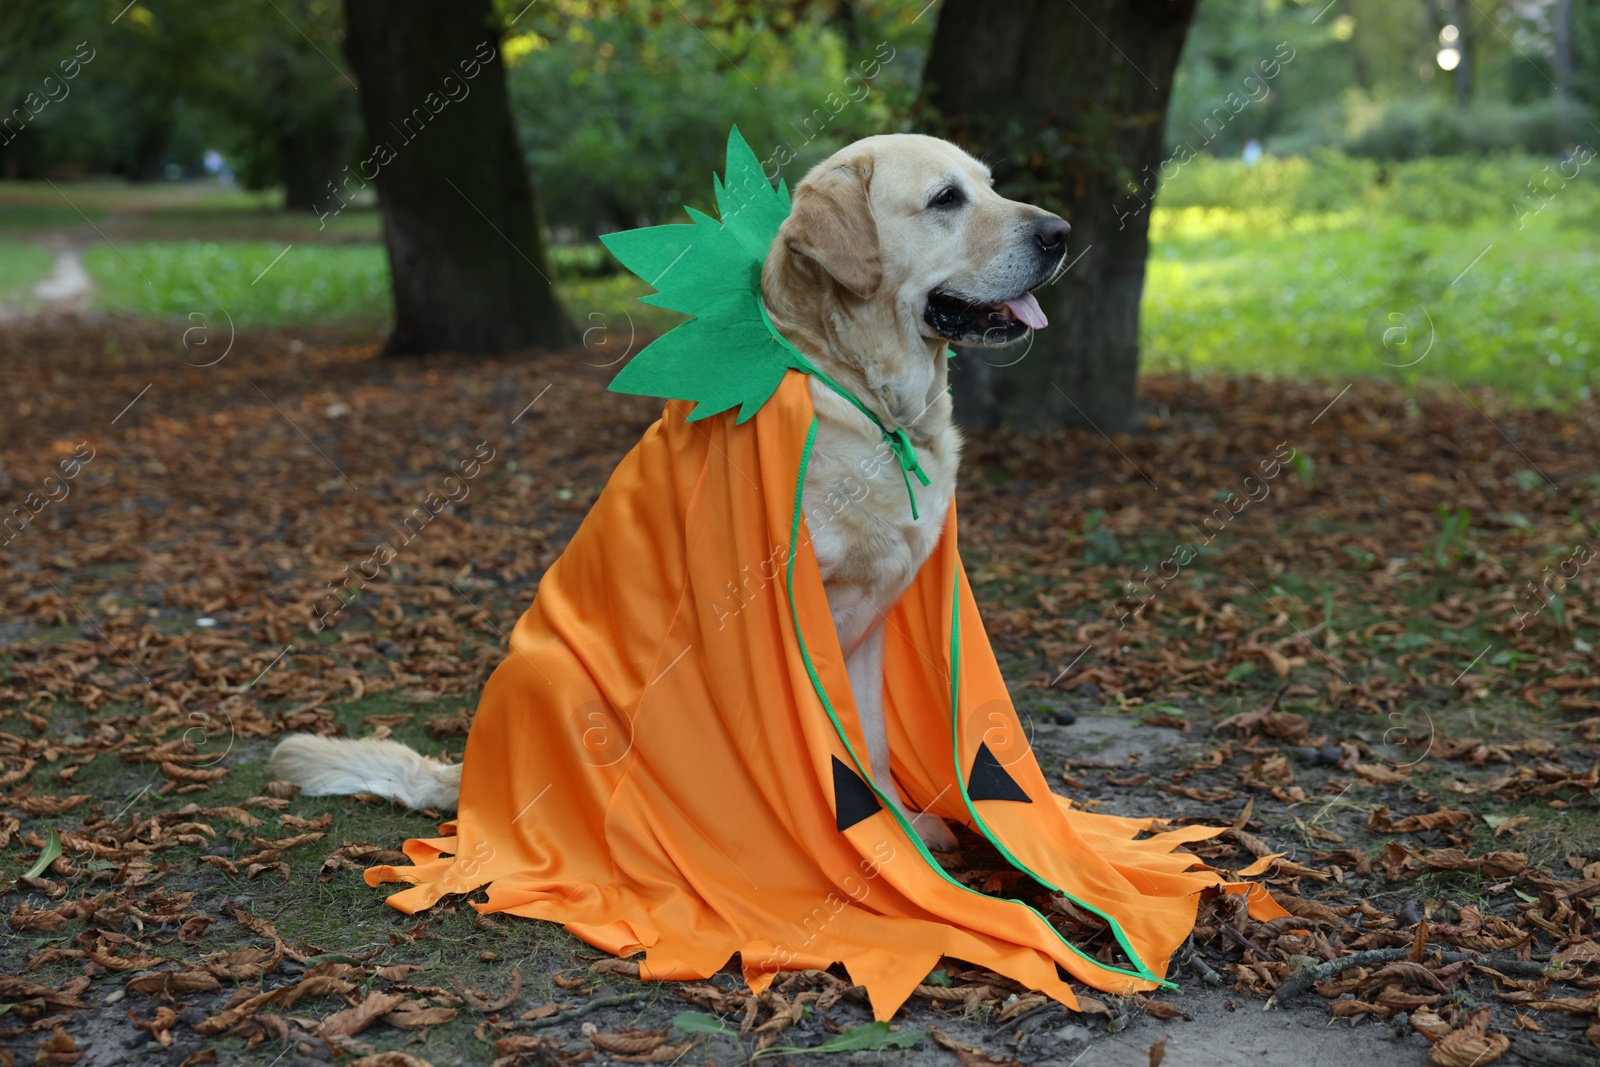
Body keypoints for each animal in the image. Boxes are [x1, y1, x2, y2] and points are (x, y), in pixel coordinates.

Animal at [272, 133, 1075, 857]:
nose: (1061, 233)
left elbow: (870, 743)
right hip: (560, 680)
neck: (866, 399)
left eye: (990, 184)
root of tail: (469, 778)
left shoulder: (875, 617)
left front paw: (899, 832)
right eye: (945, 200)